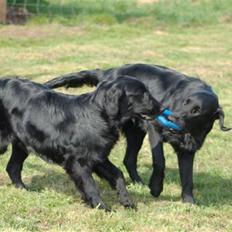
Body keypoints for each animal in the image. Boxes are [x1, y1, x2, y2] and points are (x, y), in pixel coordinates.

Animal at [0, 76, 160, 210]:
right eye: (143, 94)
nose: (160, 106)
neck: (99, 114)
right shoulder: (79, 161)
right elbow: (90, 185)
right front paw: (101, 207)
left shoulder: (98, 156)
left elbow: (118, 174)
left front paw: (127, 202)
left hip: (21, 144)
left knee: (12, 167)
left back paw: (24, 189)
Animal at [44, 63, 230, 203]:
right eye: (186, 102)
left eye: (196, 110)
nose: (170, 115)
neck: (188, 131)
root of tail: (108, 72)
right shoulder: (154, 128)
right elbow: (160, 161)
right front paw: (156, 188)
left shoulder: (188, 149)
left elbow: (187, 177)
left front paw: (189, 201)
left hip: (136, 133)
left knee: (128, 159)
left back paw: (138, 183)